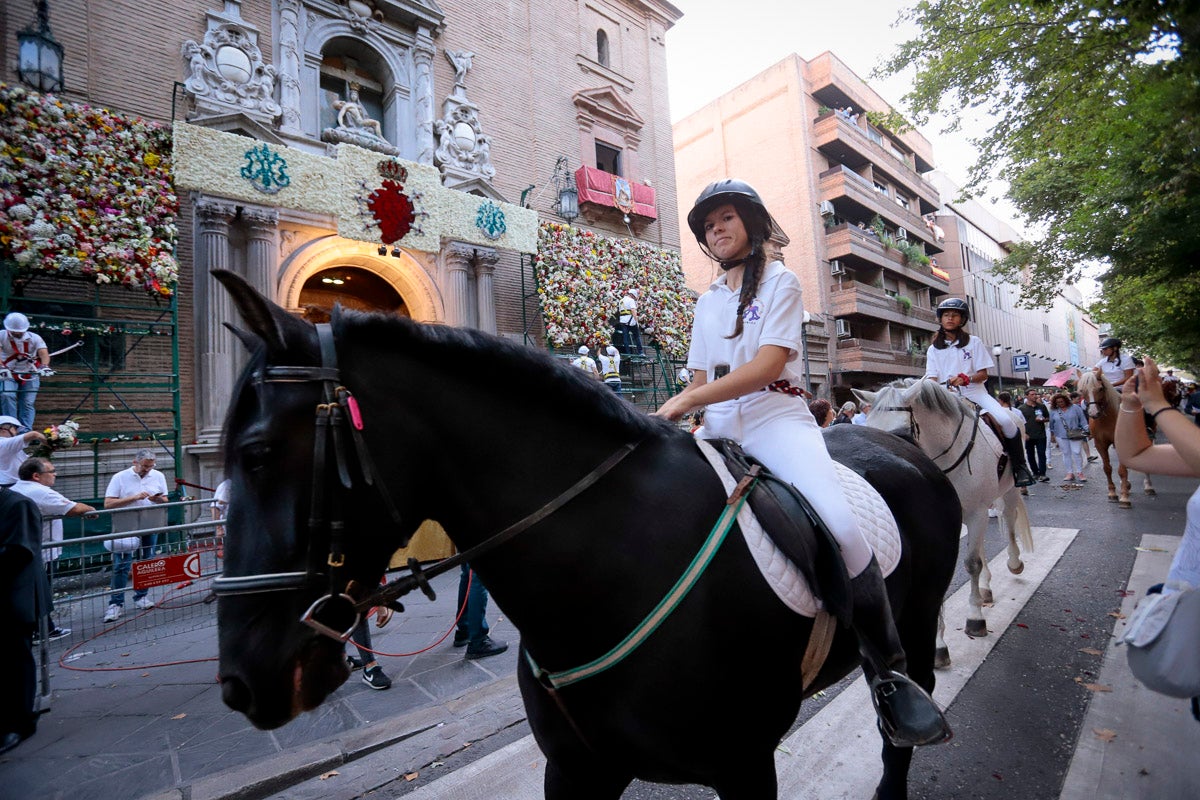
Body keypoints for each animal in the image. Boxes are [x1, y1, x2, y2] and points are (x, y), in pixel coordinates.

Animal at [211, 272, 960, 796]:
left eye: (256, 454)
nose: (240, 684)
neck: (609, 563)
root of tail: (902, 446)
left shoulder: (745, 765)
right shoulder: (577, 771)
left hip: (919, 620)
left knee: (901, 711)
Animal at [859, 379, 1036, 666]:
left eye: (902, 433)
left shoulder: (976, 512)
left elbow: (971, 564)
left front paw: (975, 619)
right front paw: (939, 645)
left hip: (1007, 491)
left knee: (1009, 520)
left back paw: (1014, 563)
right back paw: (986, 588)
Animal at [1080, 374, 1152, 510]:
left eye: (1100, 388)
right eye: (1082, 391)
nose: (1093, 413)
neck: (1107, 419)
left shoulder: (1121, 443)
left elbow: (1122, 470)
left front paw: (1124, 498)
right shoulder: (1100, 444)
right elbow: (1107, 468)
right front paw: (1112, 493)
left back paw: (1149, 486)